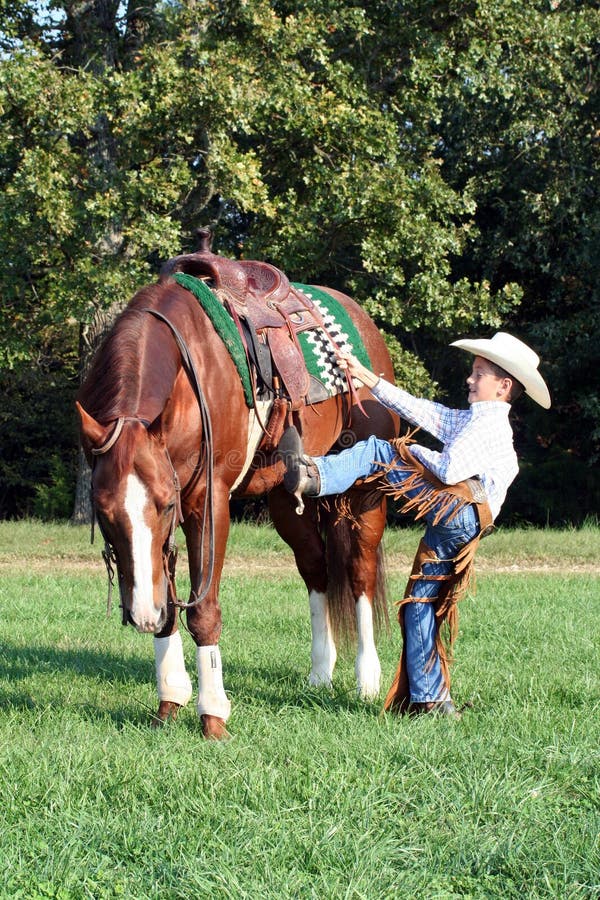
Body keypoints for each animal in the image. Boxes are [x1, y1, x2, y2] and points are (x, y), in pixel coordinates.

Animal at [78, 237, 398, 740]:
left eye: (164, 505)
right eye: (103, 511)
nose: (140, 615)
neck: (188, 377)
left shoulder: (204, 504)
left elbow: (202, 610)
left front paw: (213, 714)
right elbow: (169, 603)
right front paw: (170, 699)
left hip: (366, 492)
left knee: (359, 571)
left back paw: (367, 679)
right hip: (288, 499)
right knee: (316, 570)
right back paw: (320, 674)